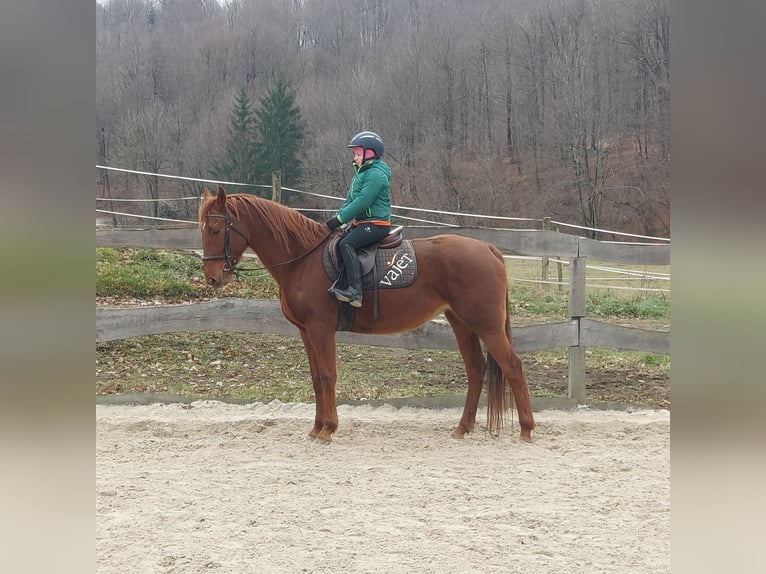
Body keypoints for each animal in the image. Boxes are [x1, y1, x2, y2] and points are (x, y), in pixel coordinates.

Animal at [198, 189, 536, 446]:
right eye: (203, 231)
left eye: (216, 230)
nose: (212, 278)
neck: (303, 259)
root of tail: (488, 248)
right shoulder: (306, 332)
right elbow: (316, 379)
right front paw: (316, 427)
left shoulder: (321, 329)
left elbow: (327, 376)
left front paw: (328, 429)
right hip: (461, 323)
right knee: (476, 370)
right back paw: (463, 428)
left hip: (486, 325)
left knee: (512, 366)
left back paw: (526, 429)